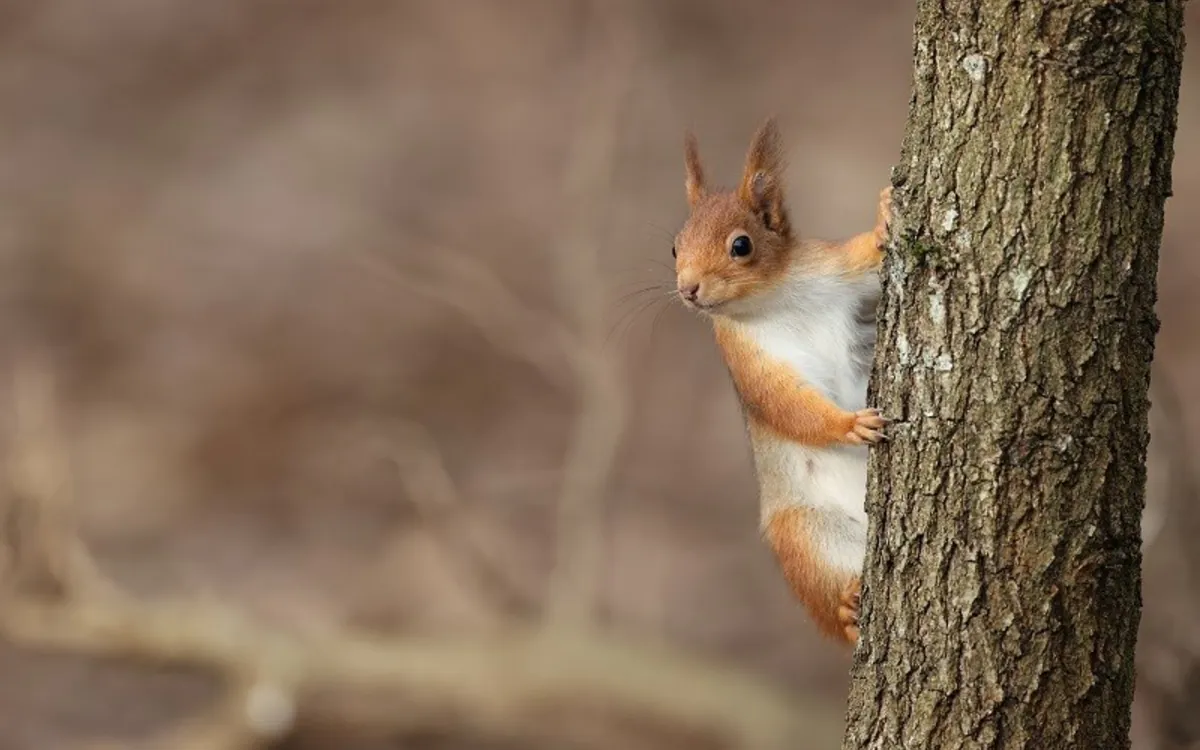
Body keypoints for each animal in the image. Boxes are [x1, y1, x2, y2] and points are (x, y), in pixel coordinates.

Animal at [672, 117, 897, 643]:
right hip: (805, 534)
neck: (777, 298)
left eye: (741, 245)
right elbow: (784, 401)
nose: (687, 288)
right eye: (673, 246)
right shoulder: (747, 358)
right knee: (828, 603)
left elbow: (868, 258)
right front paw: (848, 426)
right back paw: (845, 611)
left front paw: (884, 217)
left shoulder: (836, 268)